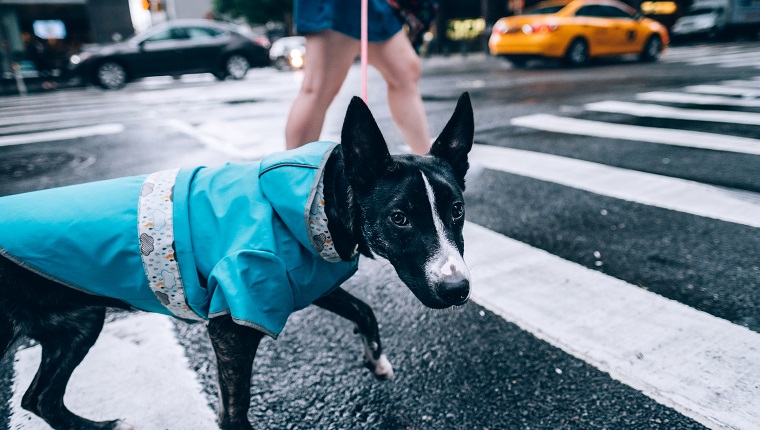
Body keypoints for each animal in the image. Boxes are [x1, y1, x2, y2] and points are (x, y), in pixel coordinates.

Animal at [0, 92, 476, 428]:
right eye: (399, 218)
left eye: (457, 210)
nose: (458, 290)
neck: (322, 197)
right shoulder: (233, 323)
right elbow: (234, 411)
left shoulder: (299, 280)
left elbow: (363, 309)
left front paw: (376, 359)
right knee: (39, 397)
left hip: (77, 323)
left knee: (39, 398)